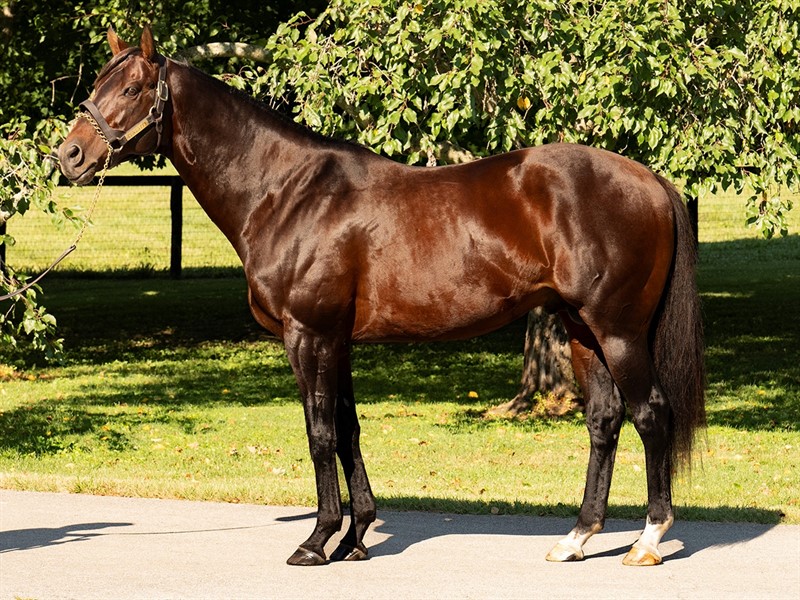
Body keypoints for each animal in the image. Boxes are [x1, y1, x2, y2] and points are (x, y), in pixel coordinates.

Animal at [58, 25, 705, 567]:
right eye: (95, 85)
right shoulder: (337, 340)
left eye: (132, 88)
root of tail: (650, 179)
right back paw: (576, 538)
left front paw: (316, 541)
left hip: (618, 330)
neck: (286, 191)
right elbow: (347, 430)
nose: (69, 156)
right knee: (603, 420)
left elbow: (320, 433)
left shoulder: (308, 335)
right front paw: (355, 538)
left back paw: (647, 541)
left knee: (651, 414)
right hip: (581, 330)